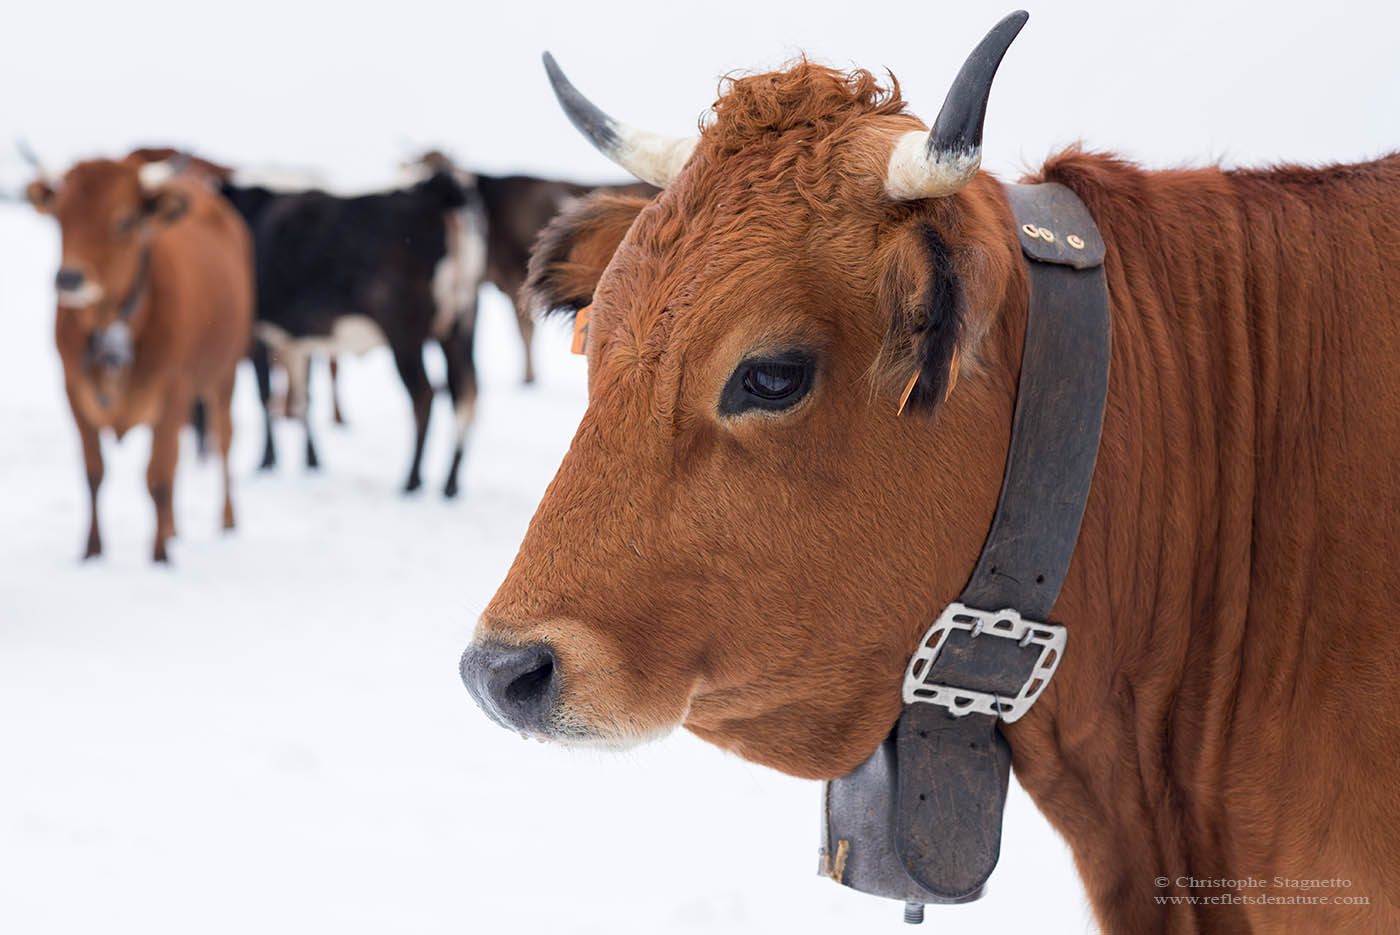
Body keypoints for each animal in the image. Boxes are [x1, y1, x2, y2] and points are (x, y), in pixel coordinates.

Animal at [28, 156, 254, 562]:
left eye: (124, 221)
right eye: (60, 217)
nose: (69, 279)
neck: (111, 323)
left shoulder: (174, 391)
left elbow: (159, 477)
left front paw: (160, 557)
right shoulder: (73, 391)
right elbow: (94, 473)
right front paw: (92, 552)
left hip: (223, 374)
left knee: (224, 442)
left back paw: (227, 521)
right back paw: (174, 528)